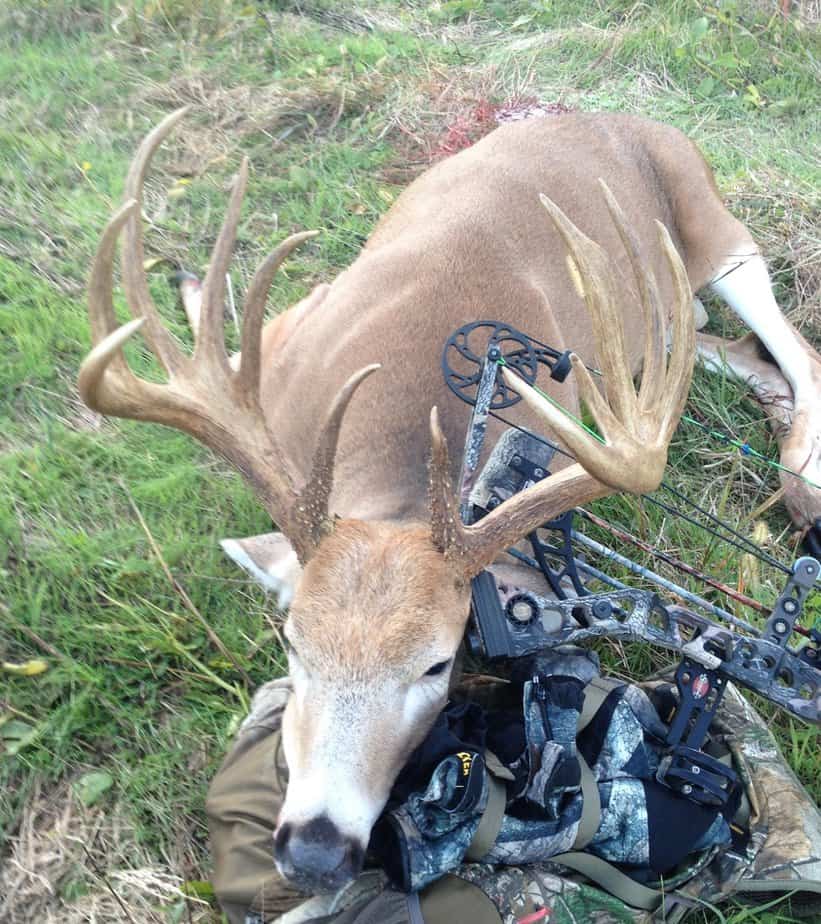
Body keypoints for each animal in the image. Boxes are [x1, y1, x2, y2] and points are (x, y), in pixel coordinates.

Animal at [78, 108, 821, 893]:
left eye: (438, 665)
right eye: (292, 642)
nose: (314, 853)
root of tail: (626, 119)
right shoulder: (286, 336)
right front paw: (184, 285)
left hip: (719, 232)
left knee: (789, 347)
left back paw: (802, 484)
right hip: (663, 313)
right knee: (715, 342)